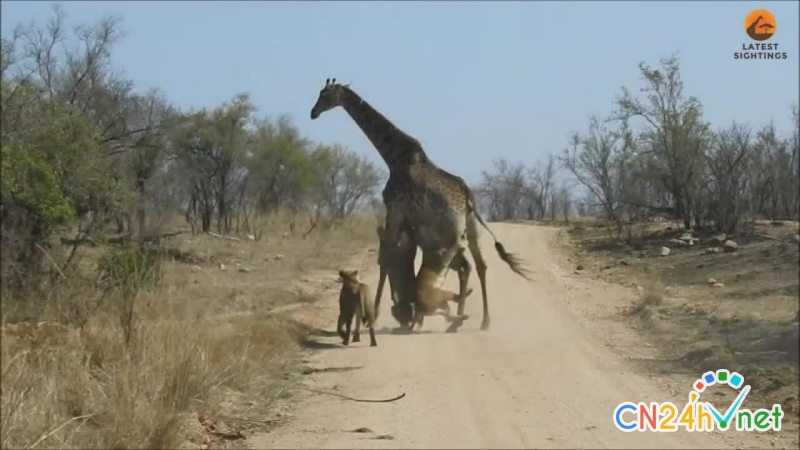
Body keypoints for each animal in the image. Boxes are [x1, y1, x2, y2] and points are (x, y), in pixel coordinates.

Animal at [308, 78, 532, 330]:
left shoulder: (394, 209)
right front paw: (409, 313)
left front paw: (378, 313)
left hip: (451, 230)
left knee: (464, 265)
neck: (394, 157)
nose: (313, 113)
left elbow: (386, 259)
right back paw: (480, 320)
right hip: (472, 226)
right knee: (479, 264)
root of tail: (467, 195)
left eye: (325, 95)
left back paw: (455, 319)